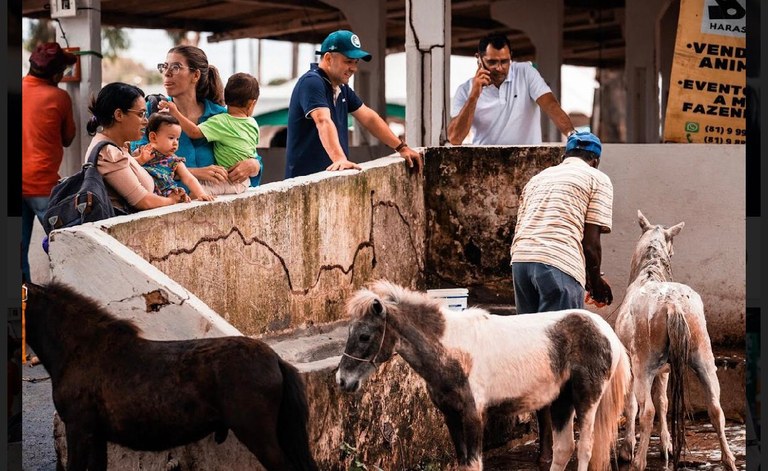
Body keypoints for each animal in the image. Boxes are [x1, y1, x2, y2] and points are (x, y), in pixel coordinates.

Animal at [336, 280, 632, 471]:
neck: (452, 348)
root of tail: (605, 329)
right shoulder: (451, 415)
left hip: (586, 400)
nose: (342, 380)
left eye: (364, 336)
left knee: (584, 448)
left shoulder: (473, 415)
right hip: (561, 400)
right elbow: (464, 464)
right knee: (563, 450)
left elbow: (475, 464)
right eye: (350, 333)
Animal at [612, 213, 736, 471]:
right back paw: (729, 460)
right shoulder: (666, 369)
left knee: (646, 411)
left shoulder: (633, 363)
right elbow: (664, 402)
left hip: (643, 363)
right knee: (715, 408)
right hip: (703, 357)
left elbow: (634, 405)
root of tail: (672, 304)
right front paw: (667, 445)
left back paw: (638, 461)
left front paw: (627, 449)